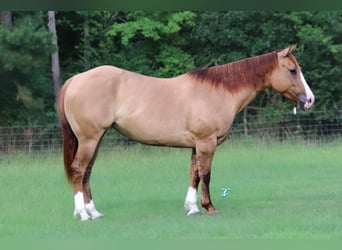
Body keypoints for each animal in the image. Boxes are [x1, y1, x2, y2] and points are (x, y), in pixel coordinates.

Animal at [58, 45, 316, 221]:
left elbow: (194, 174)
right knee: (79, 170)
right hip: (89, 139)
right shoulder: (206, 143)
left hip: (95, 140)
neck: (218, 91)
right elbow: (206, 175)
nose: (310, 100)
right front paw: (209, 207)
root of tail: (74, 80)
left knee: (87, 173)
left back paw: (94, 212)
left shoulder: (196, 145)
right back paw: (83, 214)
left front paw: (192, 208)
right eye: (292, 71)